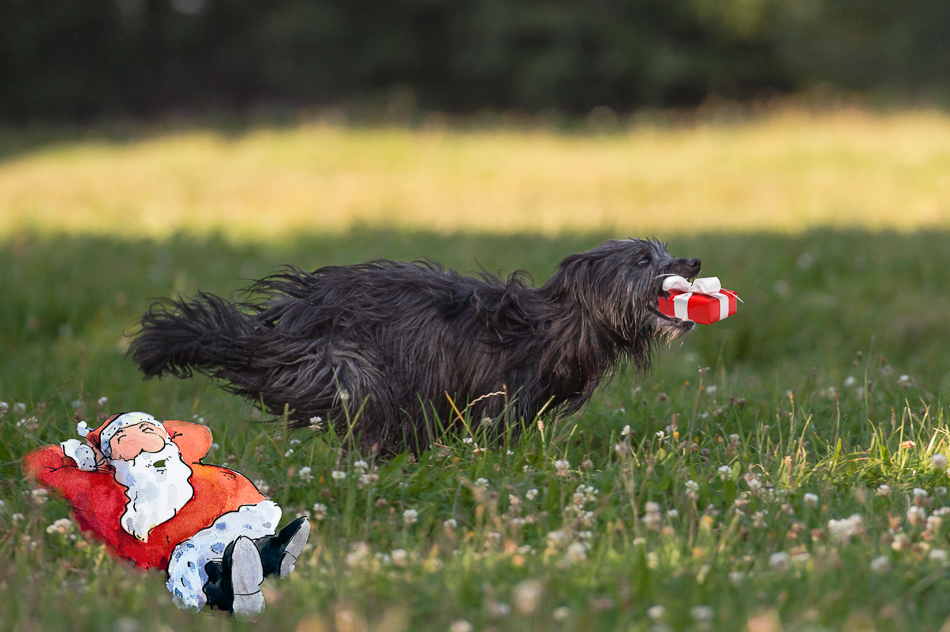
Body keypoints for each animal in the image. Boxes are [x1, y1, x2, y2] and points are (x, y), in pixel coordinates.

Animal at [130, 238, 704, 454]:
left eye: (666, 250)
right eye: (643, 259)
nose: (694, 262)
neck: (556, 324)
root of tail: (278, 328)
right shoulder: (496, 398)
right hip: (348, 370)